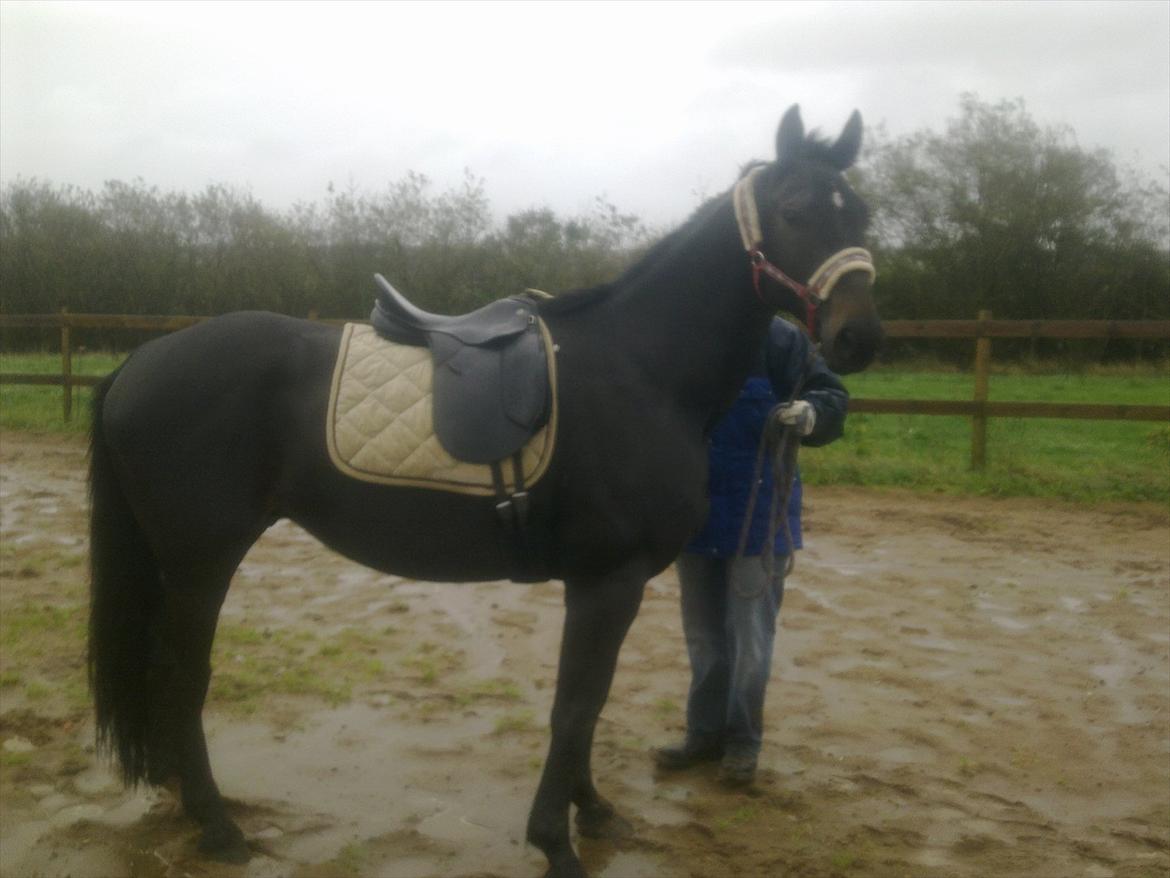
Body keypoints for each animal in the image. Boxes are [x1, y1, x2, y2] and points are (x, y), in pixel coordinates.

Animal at [88, 105, 881, 878]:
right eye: (794, 209)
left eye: (863, 214)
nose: (860, 338)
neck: (641, 369)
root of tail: (143, 360)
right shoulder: (609, 580)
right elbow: (577, 706)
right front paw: (556, 842)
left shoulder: (597, 584)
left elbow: (585, 705)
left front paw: (592, 813)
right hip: (201, 561)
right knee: (181, 677)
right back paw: (217, 826)